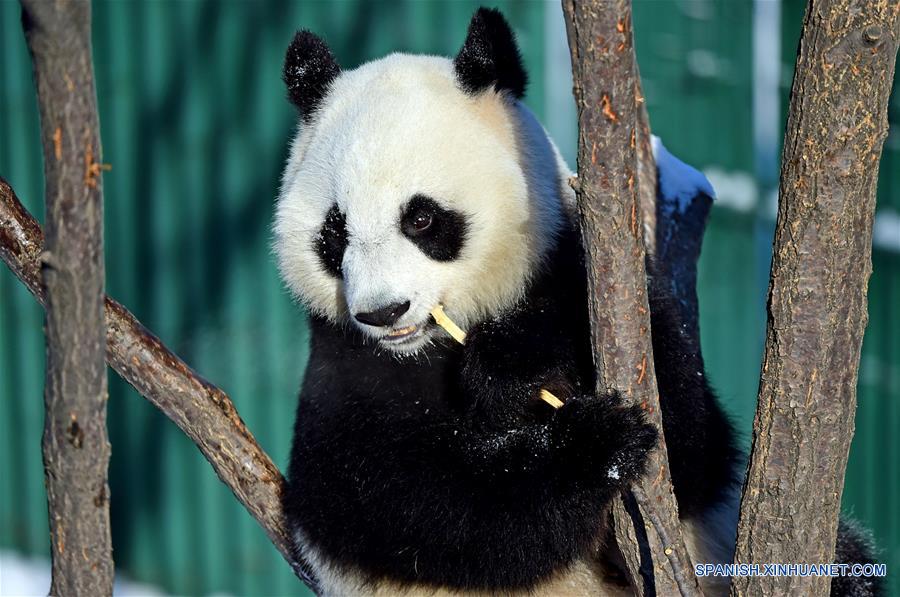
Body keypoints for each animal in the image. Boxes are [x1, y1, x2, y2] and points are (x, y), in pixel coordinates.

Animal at [274, 7, 880, 592]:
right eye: (335, 231)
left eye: (421, 219)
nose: (383, 312)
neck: (431, 347)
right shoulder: (343, 366)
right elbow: (393, 501)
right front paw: (593, 443)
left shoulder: (584, 270)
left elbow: (687, 434)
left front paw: (509, 366)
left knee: (849, 564)